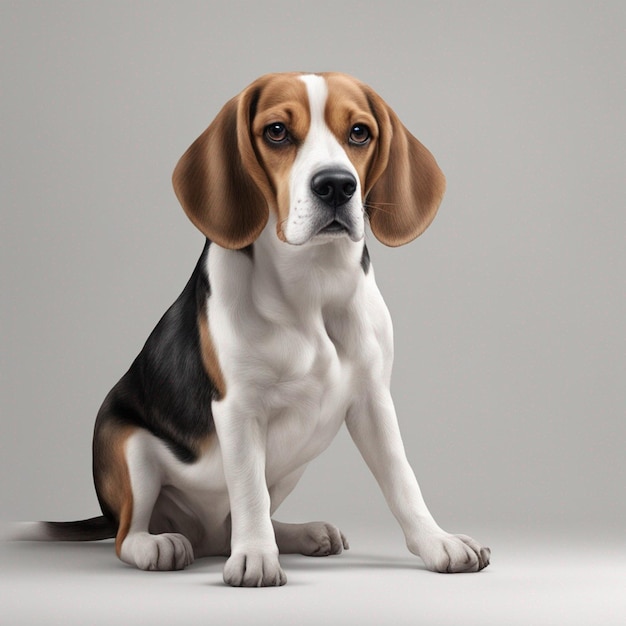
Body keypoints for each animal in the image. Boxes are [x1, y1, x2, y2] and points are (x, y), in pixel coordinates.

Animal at [17, 74, 488, 584]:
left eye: (360, 132)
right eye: (277, 131)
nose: (336, 186)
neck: (313, 286)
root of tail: (199, 535)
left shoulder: (373, 401)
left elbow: (402, 480)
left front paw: (437, 542)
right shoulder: (238, 409)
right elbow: (248, 488)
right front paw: (257, 557)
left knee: (231, 525)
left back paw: (300, 534)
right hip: (128, 444)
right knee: (128, 536)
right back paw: (159, 545)